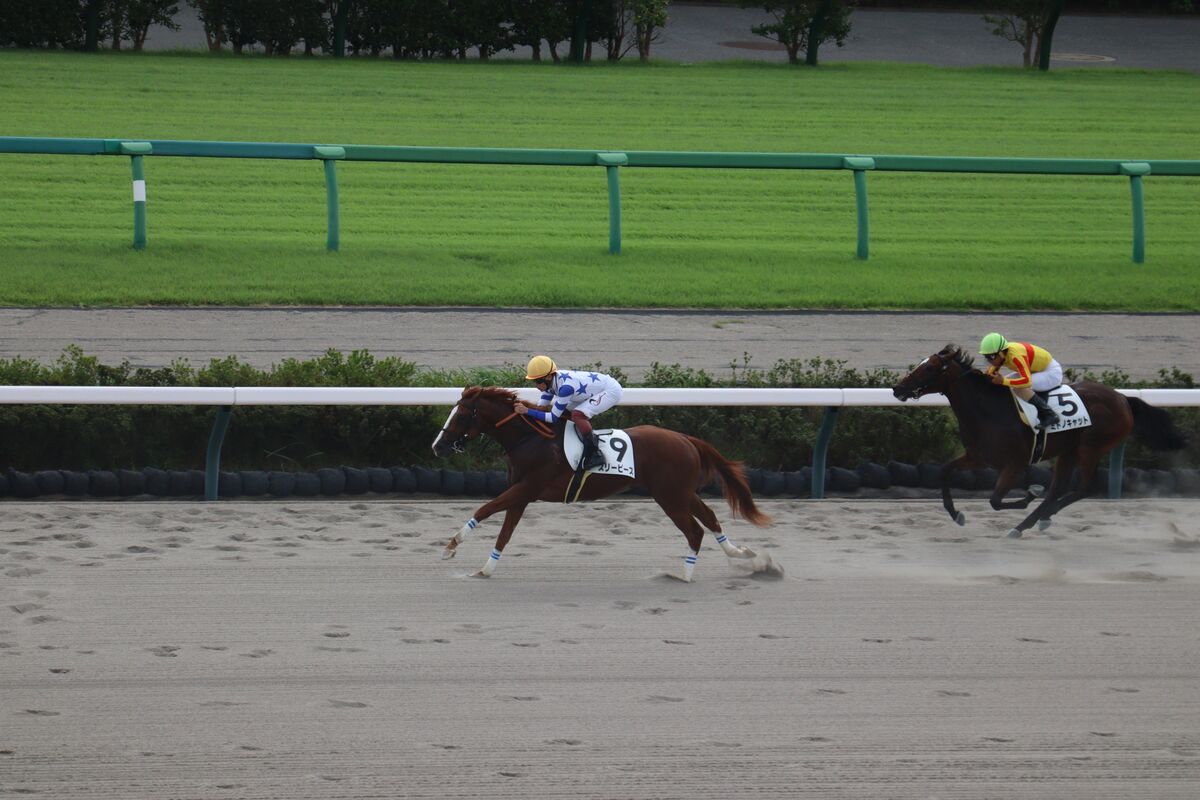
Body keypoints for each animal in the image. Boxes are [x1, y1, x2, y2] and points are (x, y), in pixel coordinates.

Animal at [432, 383, 777, 578]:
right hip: (681, 492)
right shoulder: (522, 493)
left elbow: (484, 510)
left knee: (695, 530)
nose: (437, 447)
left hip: (670, 496)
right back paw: (742, 554)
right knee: (710, 518)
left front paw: (450, 547)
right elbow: (504, 532)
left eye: (460, 415)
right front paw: (485, 569)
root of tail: (686, 439)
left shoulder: (527, 487)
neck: (530, 438)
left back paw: (684, 576)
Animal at [892, 345, 1180, 537]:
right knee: (1060, 488)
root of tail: (1123, 399)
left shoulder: (1015, 464)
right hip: (1069, 450)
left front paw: (1030, 494)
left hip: (1091, 447)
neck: (988, 410)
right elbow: (944, 472)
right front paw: (957, 514)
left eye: (929, 367)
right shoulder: (978, 457)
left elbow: (995, 500)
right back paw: (1037, 520)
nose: (897, 389)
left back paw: (1030, 522)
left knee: (1085, 488)